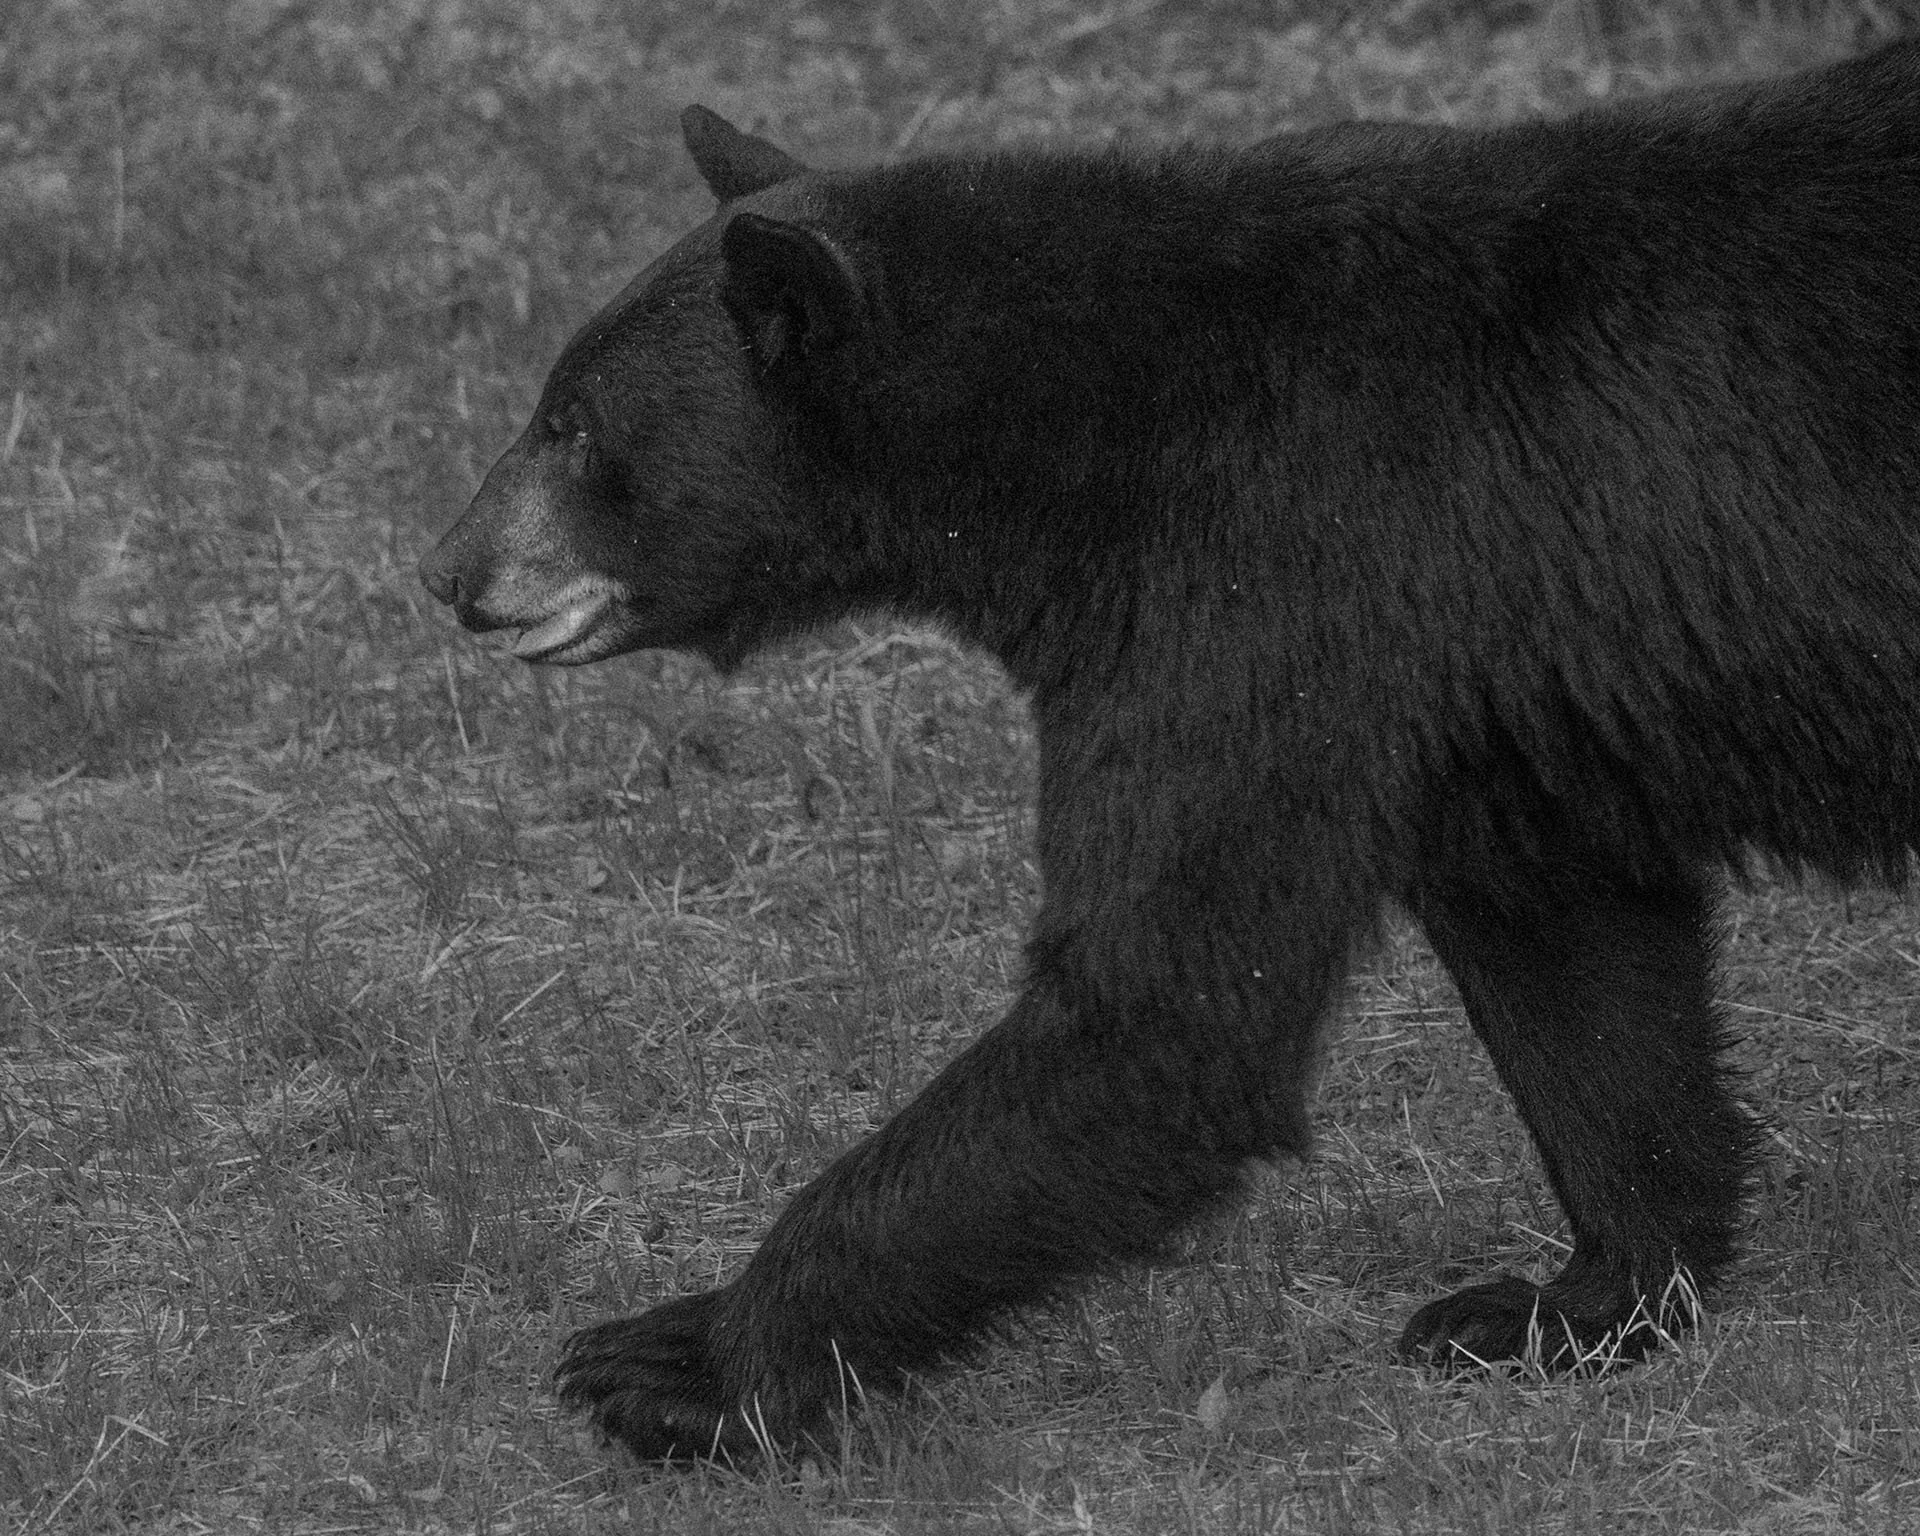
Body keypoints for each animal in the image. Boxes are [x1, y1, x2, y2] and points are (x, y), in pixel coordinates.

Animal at [418, 42, 1920, 1461]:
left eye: (570, 423)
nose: (446, 570)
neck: (1077, 428)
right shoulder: (1478, 678)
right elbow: (1578, 963)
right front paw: (1561, 1301)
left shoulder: (1272, 572)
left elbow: (1166, 1001)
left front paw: (679, 1365)